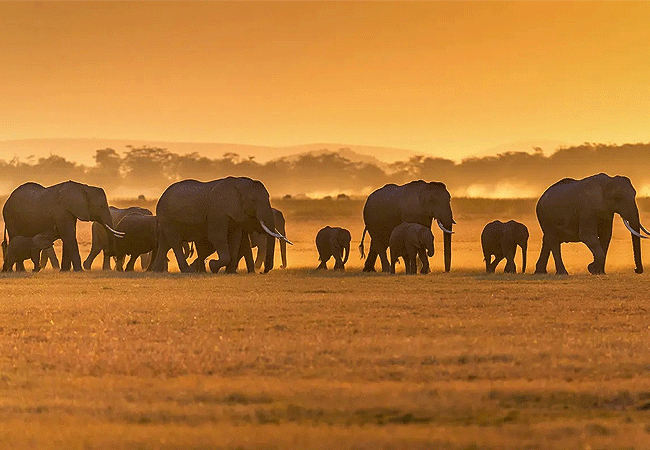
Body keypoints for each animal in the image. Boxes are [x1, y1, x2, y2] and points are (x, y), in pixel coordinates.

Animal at [152, 177, 288, 274]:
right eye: (253, 200)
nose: (263, 272)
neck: (238, 184)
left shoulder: (235, 214)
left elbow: (235, 238)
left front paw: (230, 272)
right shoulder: (217, 212)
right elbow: (217, 237)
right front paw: (213, 266)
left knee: (165, 243)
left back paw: (157, 270)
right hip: (167, 217)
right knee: (174, 242)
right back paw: (188, 271)